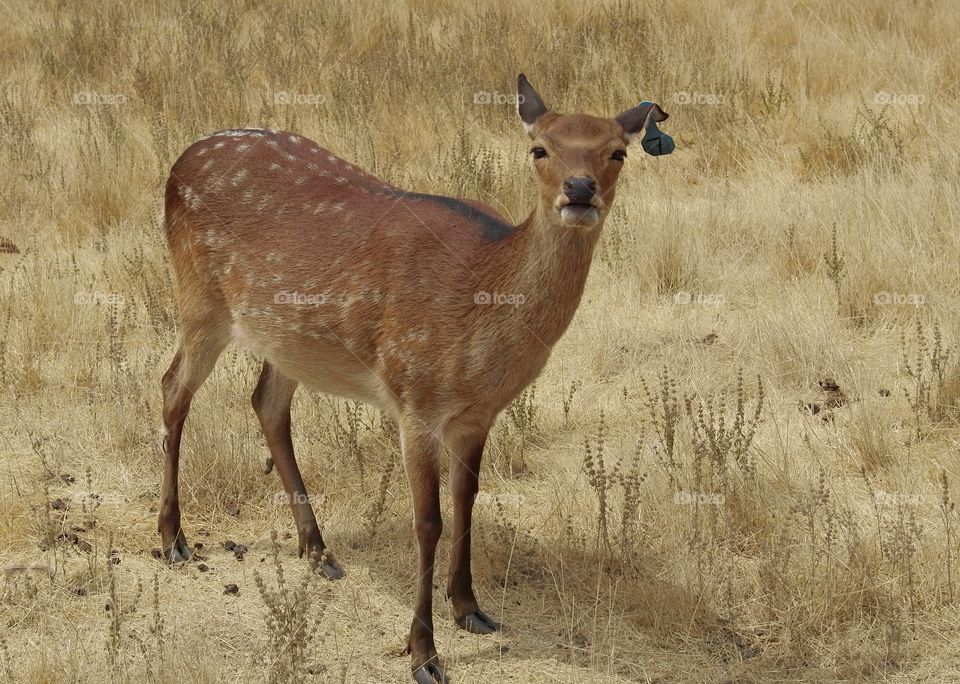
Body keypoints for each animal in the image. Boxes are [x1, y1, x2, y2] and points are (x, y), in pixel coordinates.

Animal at [159, 75, 668, 684]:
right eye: (539, 149)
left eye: (618, 152)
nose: (580, 188)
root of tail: (180, 160)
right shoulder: (415, 398)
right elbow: (428, 521)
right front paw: (424, 652)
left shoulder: (477, 413)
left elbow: (468, 501)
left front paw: (471, 608)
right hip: (199, 298)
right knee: (172, 389)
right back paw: (174, 539)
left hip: (285, 339)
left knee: (265, 403)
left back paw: (318, 549)